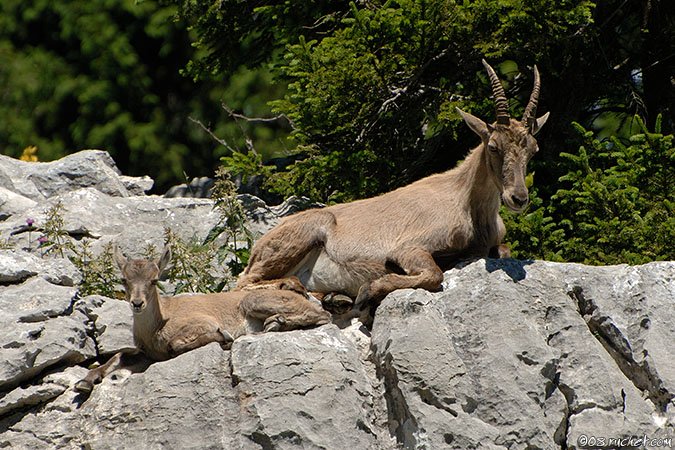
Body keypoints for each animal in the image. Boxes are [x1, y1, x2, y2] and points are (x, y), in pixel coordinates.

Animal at [74, 245, 331, 394]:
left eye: (154, 280)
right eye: (124, 280)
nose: (137, 303)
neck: (157, 325)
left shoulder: (201, 322)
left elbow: (177, 344)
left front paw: (224, 338)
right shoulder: (146, 353)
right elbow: (118, 356)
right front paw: (85, 382)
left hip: (254, 301)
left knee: (323, 316)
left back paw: (275, 324)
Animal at [236, 60, 549, 310]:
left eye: (533, 148)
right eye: (493, 146)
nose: (518, 198)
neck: (466, 203)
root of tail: (256, 249)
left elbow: (503, 251)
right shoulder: (409, 247)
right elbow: (433, 274)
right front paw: (369, 290)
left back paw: (334, 297)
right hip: (305, 233)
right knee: (244, 281)